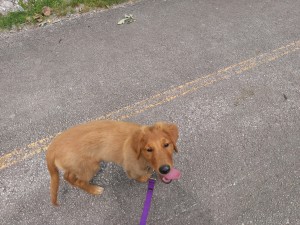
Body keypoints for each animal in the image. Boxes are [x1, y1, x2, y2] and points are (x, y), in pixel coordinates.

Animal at [45, 120, 180, 205]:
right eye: (149, 149)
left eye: (166, 145)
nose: (165, 169)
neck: (141, 155)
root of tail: (53, 147)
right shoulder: (130, 167)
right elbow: (140, 177)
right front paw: (146, 176)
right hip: (91, 167)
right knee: (78, 180)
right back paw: (94, 190)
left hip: (80, 166)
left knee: (67, 176)